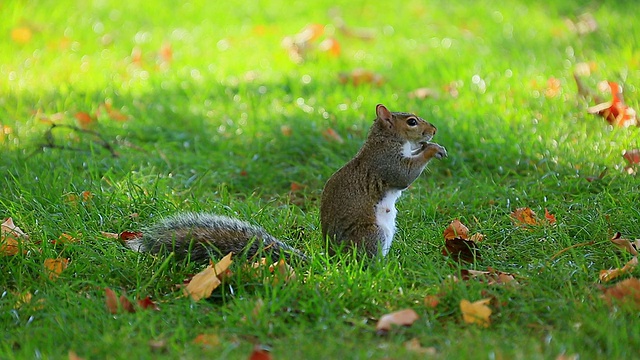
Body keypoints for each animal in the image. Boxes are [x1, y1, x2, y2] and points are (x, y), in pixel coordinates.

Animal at [124, 103, 444, 262]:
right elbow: (403, 177)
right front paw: (431, 149)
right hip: (371, 234)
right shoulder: (384, 162)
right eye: (412, 121)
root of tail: (333, 260)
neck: (385, 140)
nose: (434, 129)